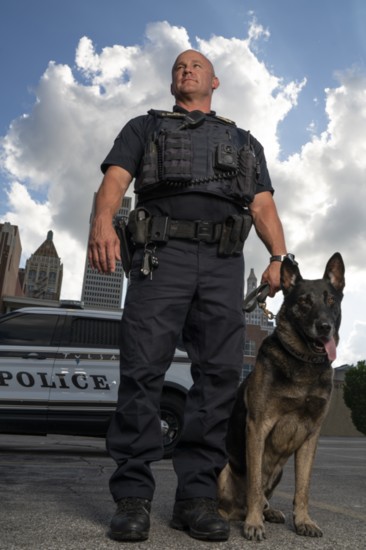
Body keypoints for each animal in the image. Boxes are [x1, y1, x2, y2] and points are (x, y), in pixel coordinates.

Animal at [219, 254, 344, 544]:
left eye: (331, 301)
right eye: (304, 302)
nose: (325, 327)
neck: (303, 362)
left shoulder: (311, 435)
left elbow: (303, 488)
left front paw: (304, 521)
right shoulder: (257, 427)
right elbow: (254, 485)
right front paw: (254, 524)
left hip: (280, 472)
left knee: (262, 499)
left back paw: (269, 511)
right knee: (235, 503)